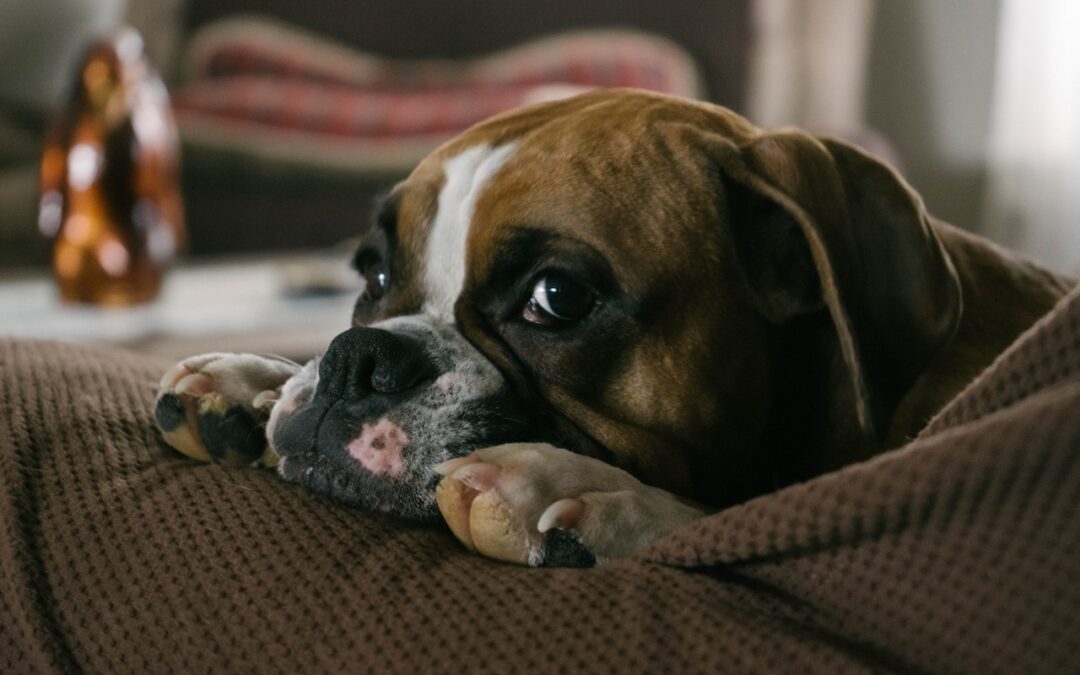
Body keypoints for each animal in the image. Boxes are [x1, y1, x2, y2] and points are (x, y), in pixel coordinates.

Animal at [156, 86, 1075, 565]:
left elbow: (727, 517)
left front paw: (584, 491)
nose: (358, 359)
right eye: (373, 274)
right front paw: (254, 379)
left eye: (557, 297)